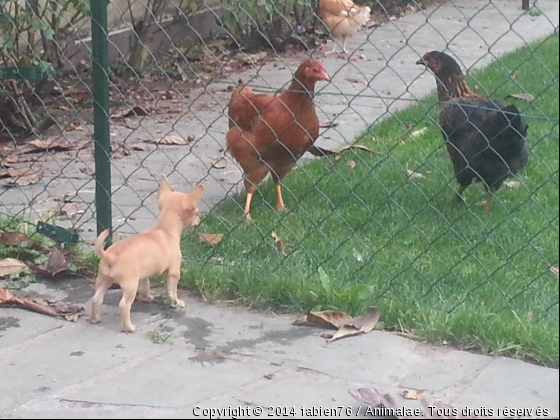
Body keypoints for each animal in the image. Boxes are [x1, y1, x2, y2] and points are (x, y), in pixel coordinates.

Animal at [91, 174, 205, 332]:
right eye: (196, 213)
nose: (199, 219)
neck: (163, 228)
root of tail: (110, 256)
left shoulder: (143, 276)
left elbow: (145, 285)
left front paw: (146, 297)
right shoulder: (174, 272)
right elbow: (172, 290)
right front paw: (177, 302)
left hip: (103, 280)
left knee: (96, 298)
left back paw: (95, 319)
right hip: (129, 285)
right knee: (124, 305)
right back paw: (129, 327)